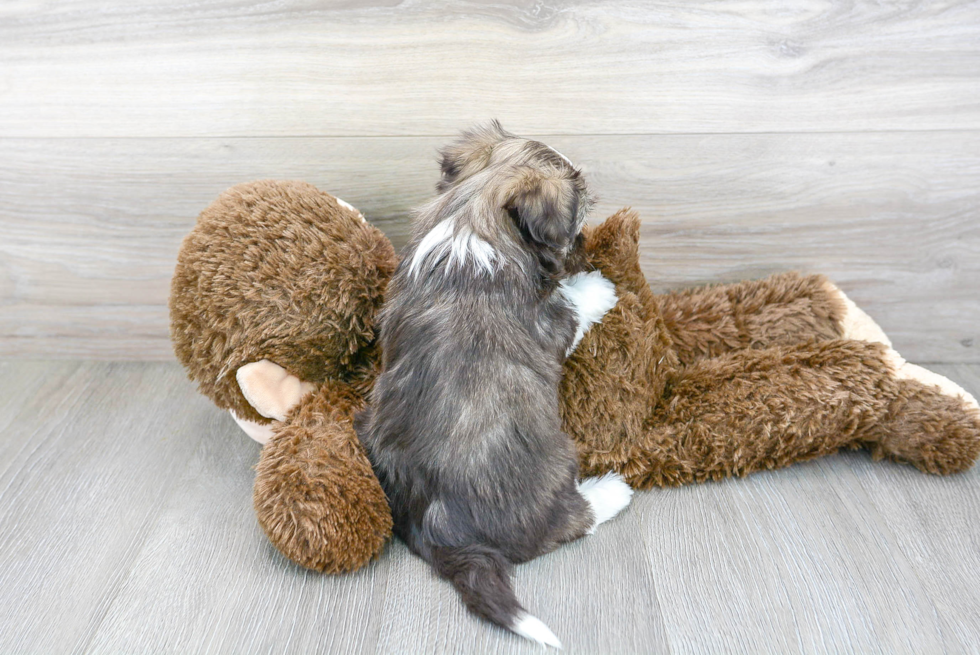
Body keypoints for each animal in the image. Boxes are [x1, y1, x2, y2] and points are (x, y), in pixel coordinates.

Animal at [356, 120, 632, 648]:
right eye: (575, 227)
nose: (587, 245)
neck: (471, 214)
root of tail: (439, 531)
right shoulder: (549, 325)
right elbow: (572, 304)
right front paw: (599, 285)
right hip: (554, 465)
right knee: (567, 522)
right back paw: (611, 492)